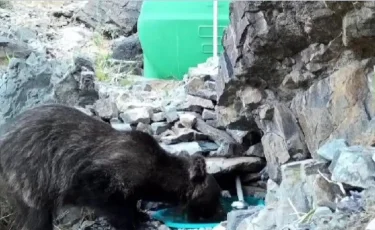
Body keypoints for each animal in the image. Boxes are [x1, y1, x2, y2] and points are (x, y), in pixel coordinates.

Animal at [0, 104, 225, 230]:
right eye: (216, 196)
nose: (221, 214)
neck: (157, 173)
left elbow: (131, 204)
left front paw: (140, 215)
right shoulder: (99, 180)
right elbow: (115, 208)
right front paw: (131, 222)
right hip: (31, 181)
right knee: (37, 218)